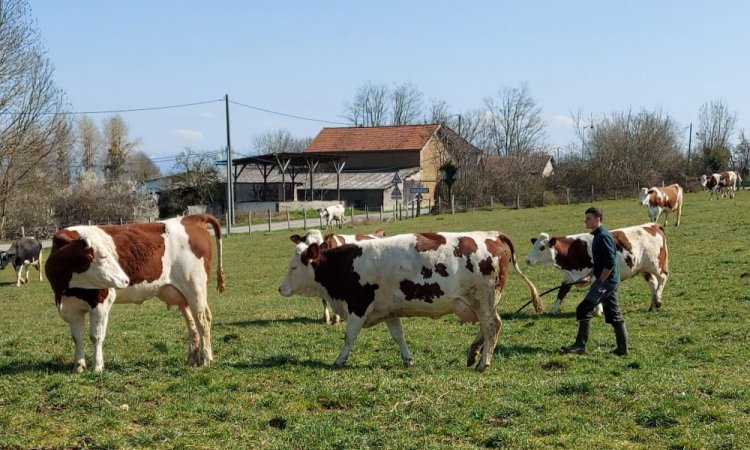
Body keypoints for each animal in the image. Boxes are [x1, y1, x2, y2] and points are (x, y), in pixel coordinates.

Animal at [44, 214, 225, 372]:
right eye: (102, 256)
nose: (125, 279)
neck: (65, 288)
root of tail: (193, 218)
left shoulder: (101, 302)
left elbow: (96, 336)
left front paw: (97, 367)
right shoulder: (72, 308)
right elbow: (78, 338)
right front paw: (79, 366)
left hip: (195, 288)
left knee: (203, 321)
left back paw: (206, 359)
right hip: (181, 295)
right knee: (192, 324)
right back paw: (192, 359)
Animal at [280, 230, 544, 370]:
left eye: (293, 267)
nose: (280, 288)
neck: (345, 264)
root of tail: (492, 235)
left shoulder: (358, 306)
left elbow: (349, 336)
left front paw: (339, 360)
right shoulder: (388, 311)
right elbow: (399, 336)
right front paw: (407, 359)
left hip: (484, 299)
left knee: (492, 326)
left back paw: (483, 362)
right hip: (481, 302)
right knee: (487, 326)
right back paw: (474, 352)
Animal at [524, 223, 672, 314]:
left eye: (541, 247)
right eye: (534, 245)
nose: (527, 260)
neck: (574, 248)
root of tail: (653, 225)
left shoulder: (597, 274)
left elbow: (596, 289)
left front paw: (597, 310)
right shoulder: (569, 276)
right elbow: (561, 292)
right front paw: (553, 310)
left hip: (656, 264)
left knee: (663, 277)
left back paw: (658, 300)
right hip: (643, 268)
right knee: (653, 282)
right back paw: (653, 304)